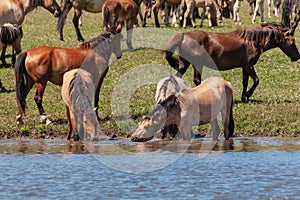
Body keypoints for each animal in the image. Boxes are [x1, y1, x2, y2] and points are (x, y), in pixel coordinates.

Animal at [164, 22, 300, 102]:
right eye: (291, 41)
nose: (297, 57)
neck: (252, 41)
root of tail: (183, 35)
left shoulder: (244, 67)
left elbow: (245, 82)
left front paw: (244, 97)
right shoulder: (249, 66)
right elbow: (256, 80)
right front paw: (247, 95)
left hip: (184, 64)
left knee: (177, 78)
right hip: (197, 65)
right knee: (197, 80)